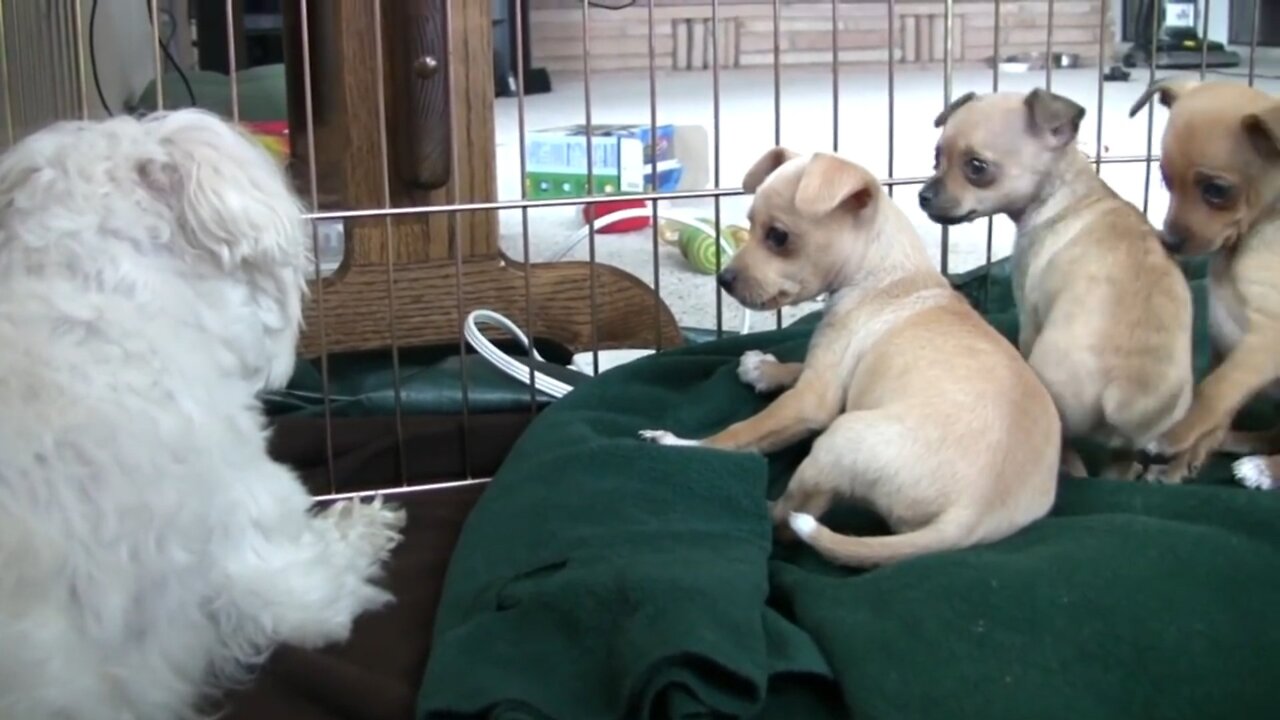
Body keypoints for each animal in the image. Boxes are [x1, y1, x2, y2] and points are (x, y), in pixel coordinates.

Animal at [640, 147, 1059, 566]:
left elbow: (741, 432)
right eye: (749, 225)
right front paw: (763, 368)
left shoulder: (813, 399)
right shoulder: (828, 362)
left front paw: (687, 441)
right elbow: (800, 365)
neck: (884, 272)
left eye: (778, 237)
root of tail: (970, 518)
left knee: (787, 518)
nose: (723, 280)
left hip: (839, 438)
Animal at [921, 90, 1187, 481]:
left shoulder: (1028, 312)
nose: (922, 196)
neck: (1063, 192)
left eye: (977, 168)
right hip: (1145, 432)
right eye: (936, 157)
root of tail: (1122, 392)